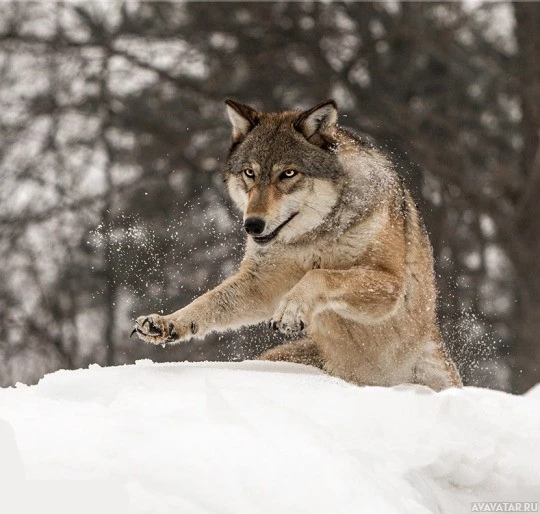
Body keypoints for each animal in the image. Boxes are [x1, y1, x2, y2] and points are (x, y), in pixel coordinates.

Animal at [133, 99, 462, 388]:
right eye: (249, 173)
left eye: (288, 173)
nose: (252, 225)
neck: (313, 237)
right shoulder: (261, 284)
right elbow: (208, 300)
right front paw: (167, 323)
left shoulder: (390, 286)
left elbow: (318, 274)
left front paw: (291, 310)